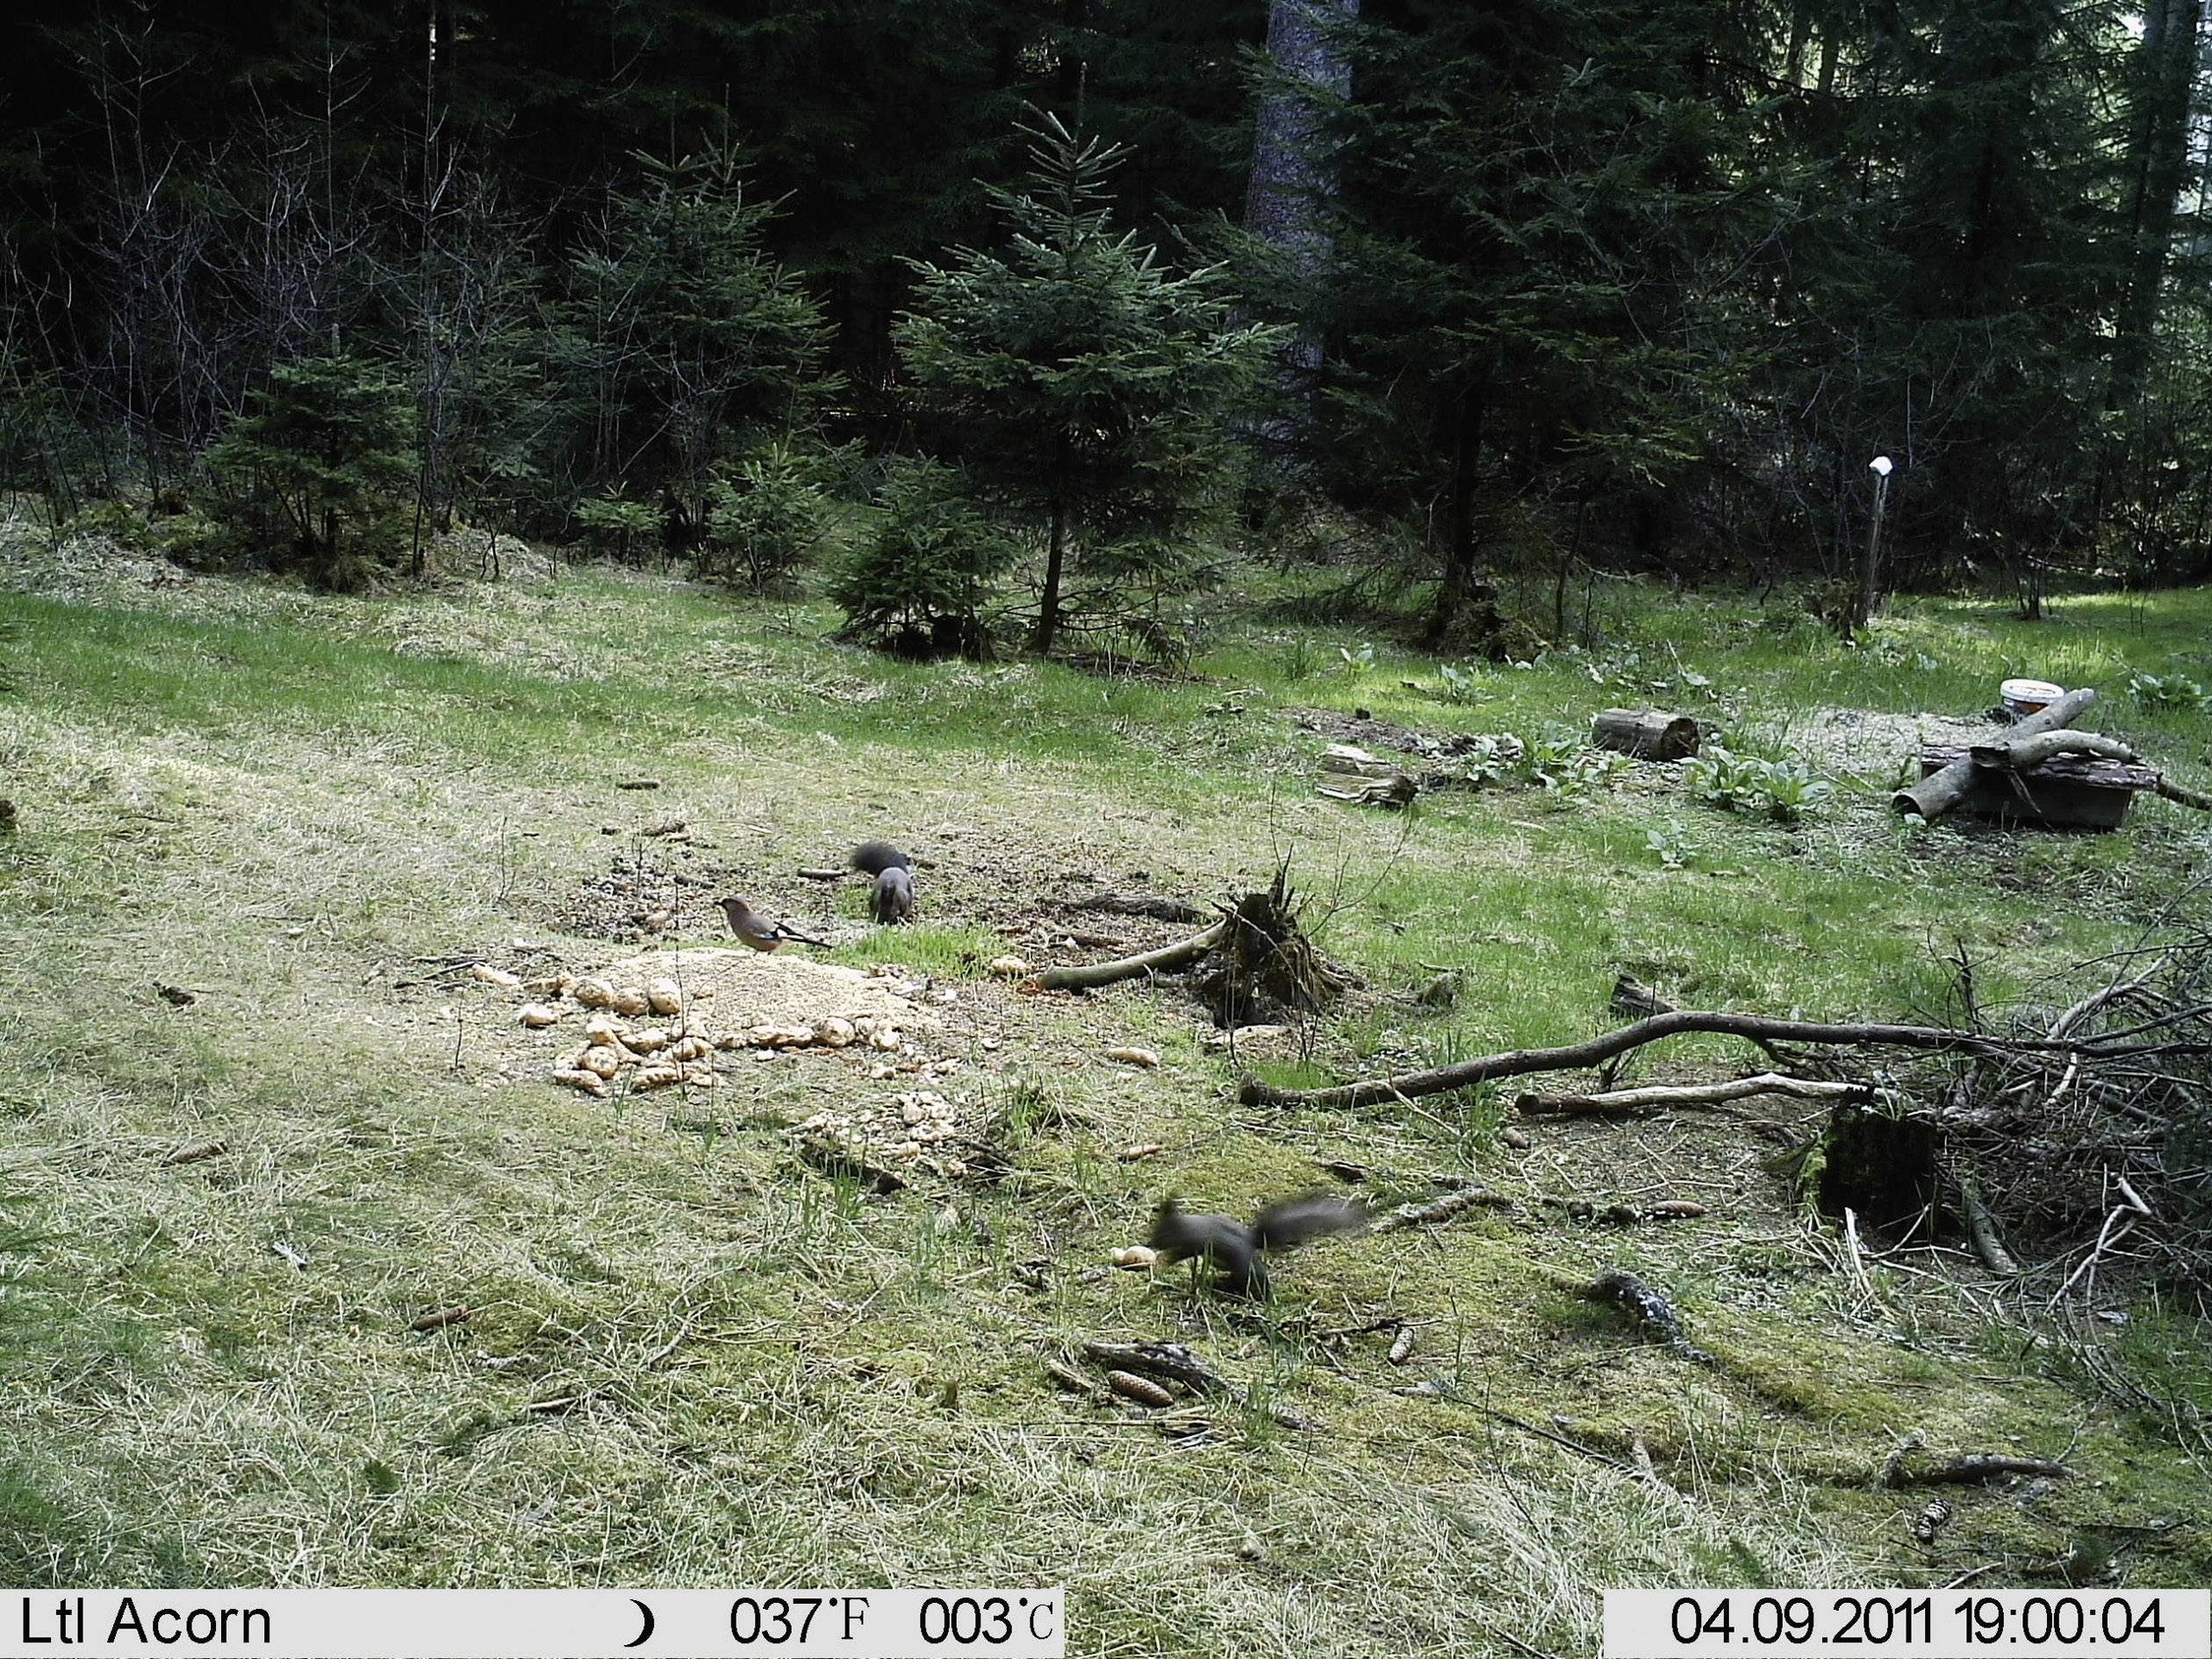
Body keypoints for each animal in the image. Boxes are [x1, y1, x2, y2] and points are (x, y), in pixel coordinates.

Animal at [1147, 1192, 1368, 1296]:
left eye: (1162, 1233)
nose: (1151, 1243)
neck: (1187, 1226)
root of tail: (1252, 1242)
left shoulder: (1197, 1242)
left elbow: (1180, 1252)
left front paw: (1164, 1260)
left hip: (1244, 1266)